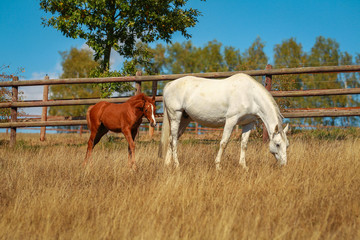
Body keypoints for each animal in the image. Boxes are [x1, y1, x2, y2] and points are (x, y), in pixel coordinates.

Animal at [159, 73, 288, 171]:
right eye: (277, 144)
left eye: (287, 145)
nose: (284, 165)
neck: (250, 95)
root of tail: (170, 85)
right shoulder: (231, 120)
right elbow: (224, 143)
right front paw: (218, 166)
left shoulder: (248, 123)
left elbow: (244, 144)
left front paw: (244, 166)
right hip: (175, 116)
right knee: (174, 140)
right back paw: (177, 165)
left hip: (184, 119)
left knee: (171, 139)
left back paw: (167, 164)